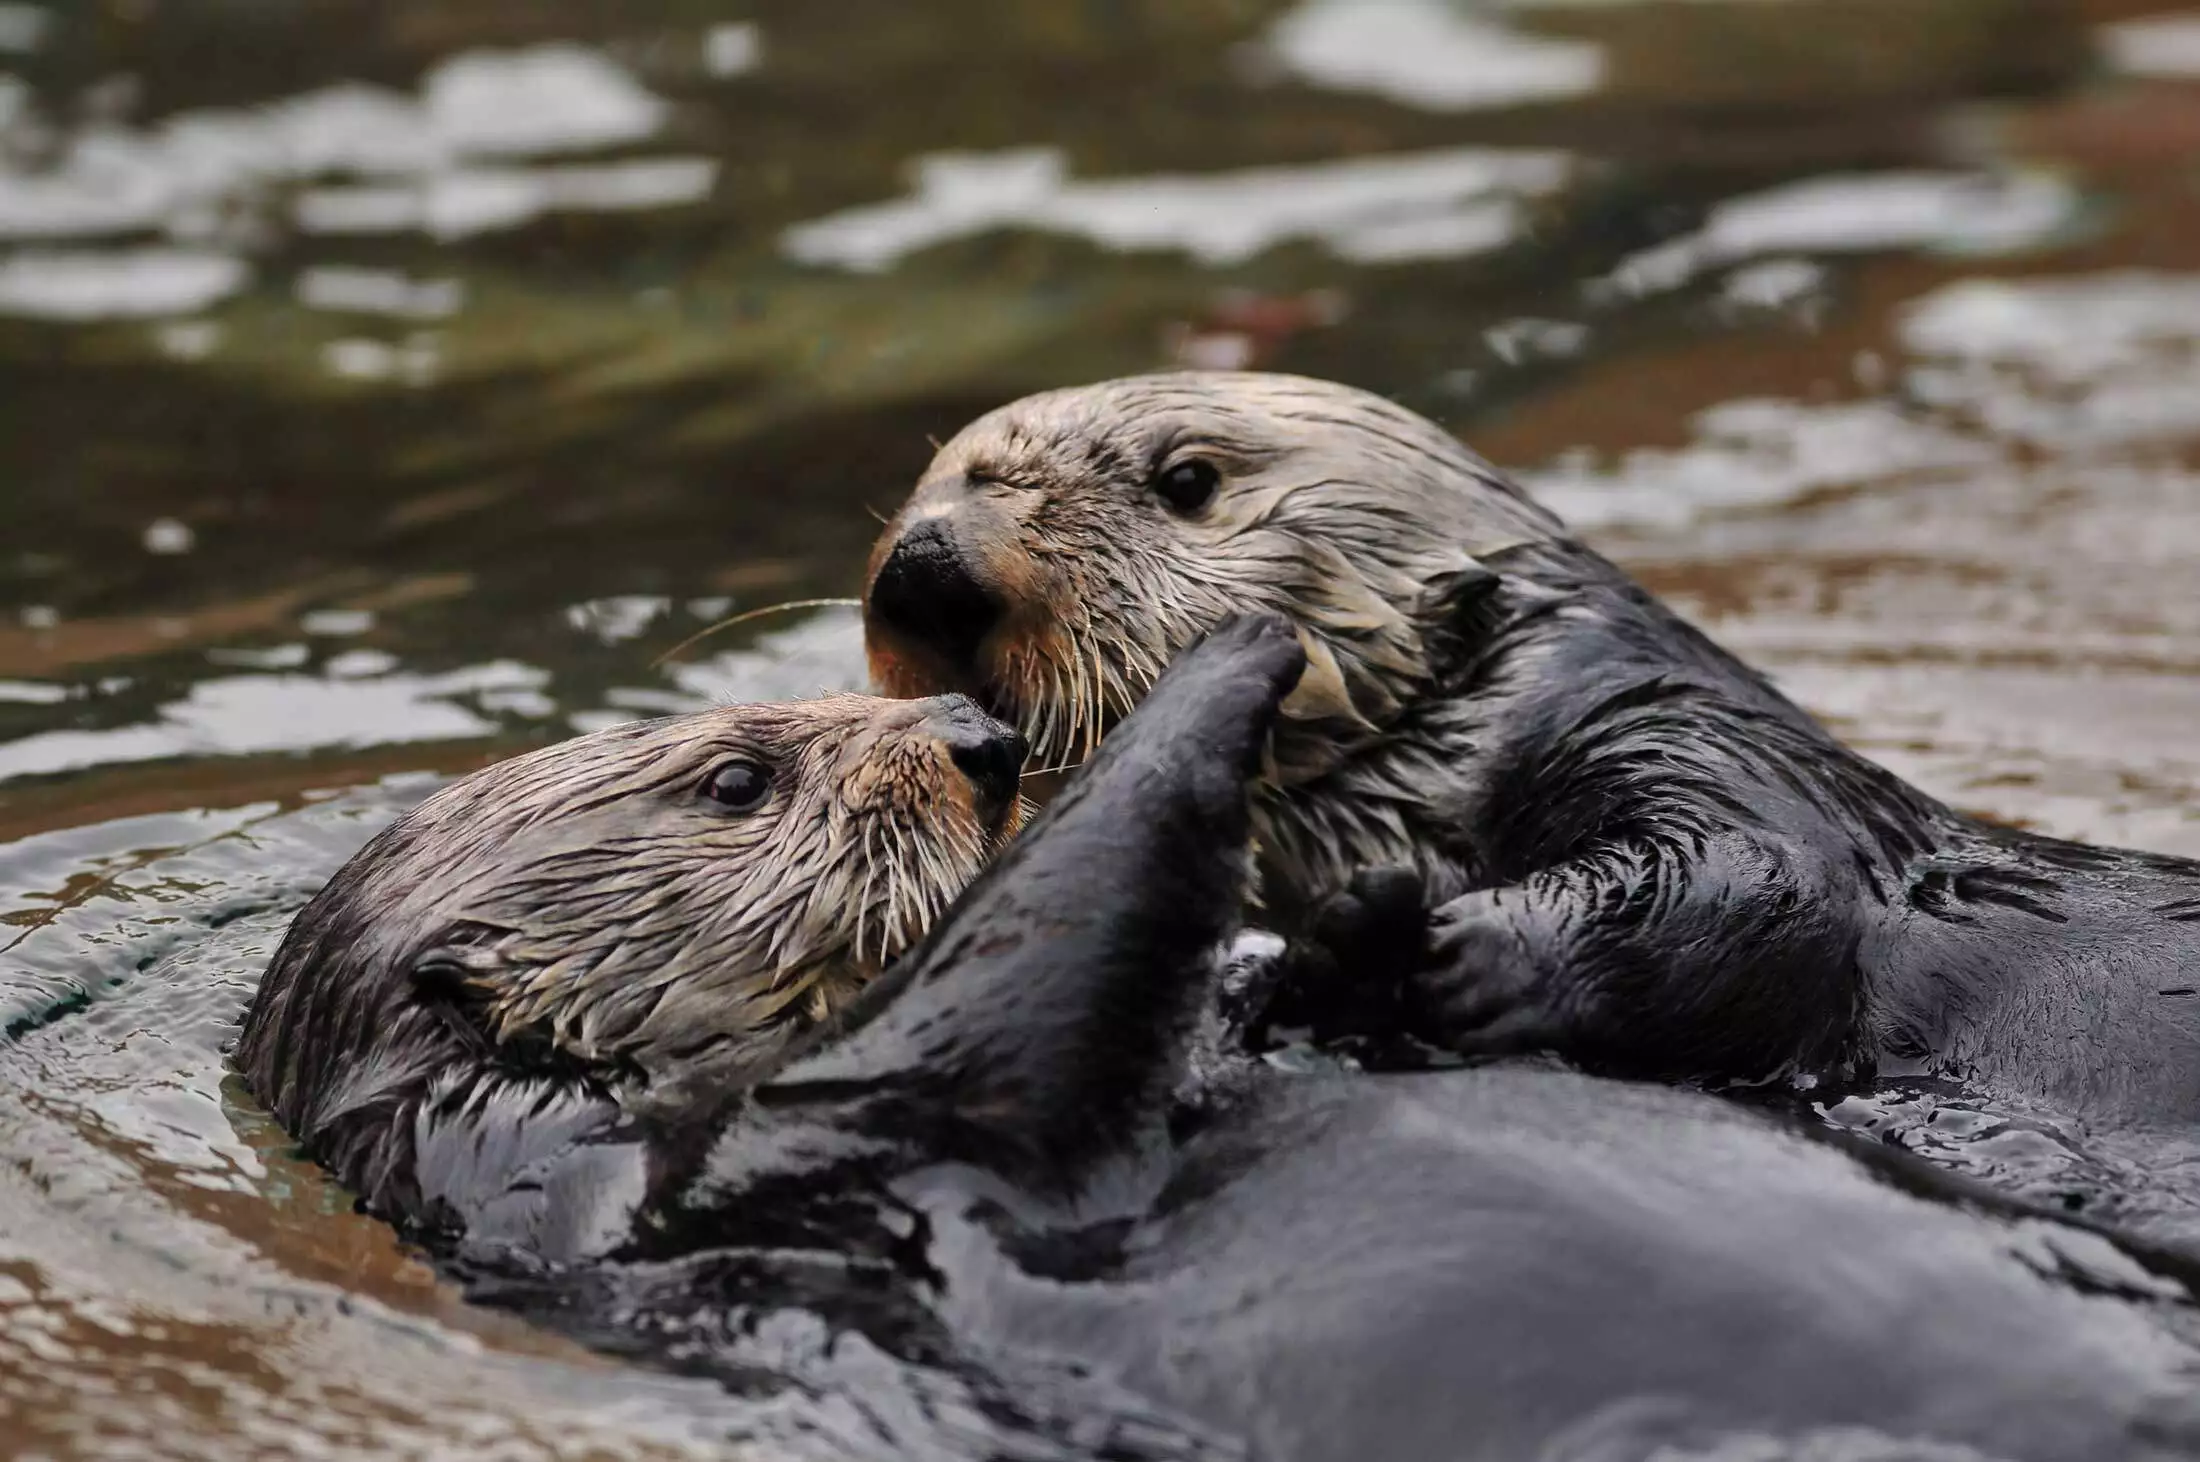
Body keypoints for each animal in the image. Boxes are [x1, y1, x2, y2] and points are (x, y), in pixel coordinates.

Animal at [862, 371, 2200, 1121]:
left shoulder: (1680, 731)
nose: (925, 564)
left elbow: (1760, 881)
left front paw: (1424, 947)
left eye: (1186, 480)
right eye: (931, 484)